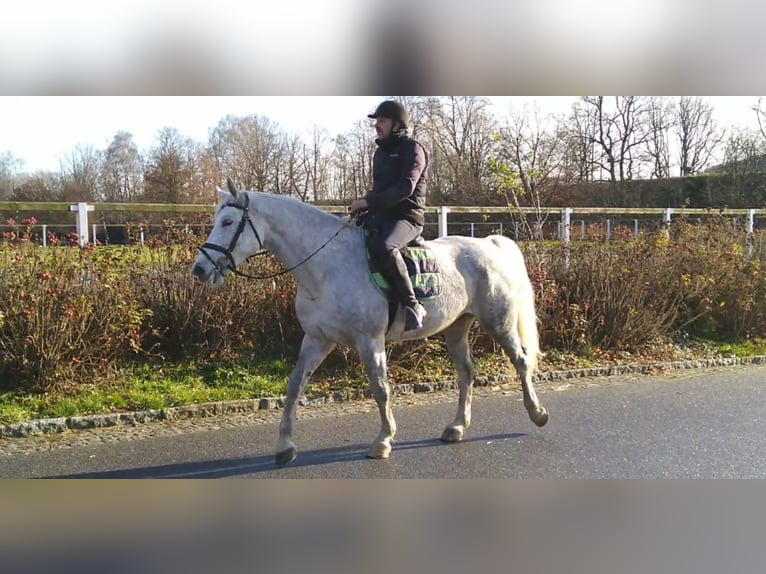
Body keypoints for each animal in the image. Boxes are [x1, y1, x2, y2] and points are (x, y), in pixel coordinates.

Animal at [192, 179, 548, 465]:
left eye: (228, 221)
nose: (200, 269)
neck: (326, 268)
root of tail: (490, 244)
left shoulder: (370, 341)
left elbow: (380, 389)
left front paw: (383, 441)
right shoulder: (317, 339)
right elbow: (294, 387)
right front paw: (284, 446)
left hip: (498, 322)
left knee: (521, 361)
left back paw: (537, 413)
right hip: (457, 327)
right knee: (466, 372)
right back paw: (457, 427)